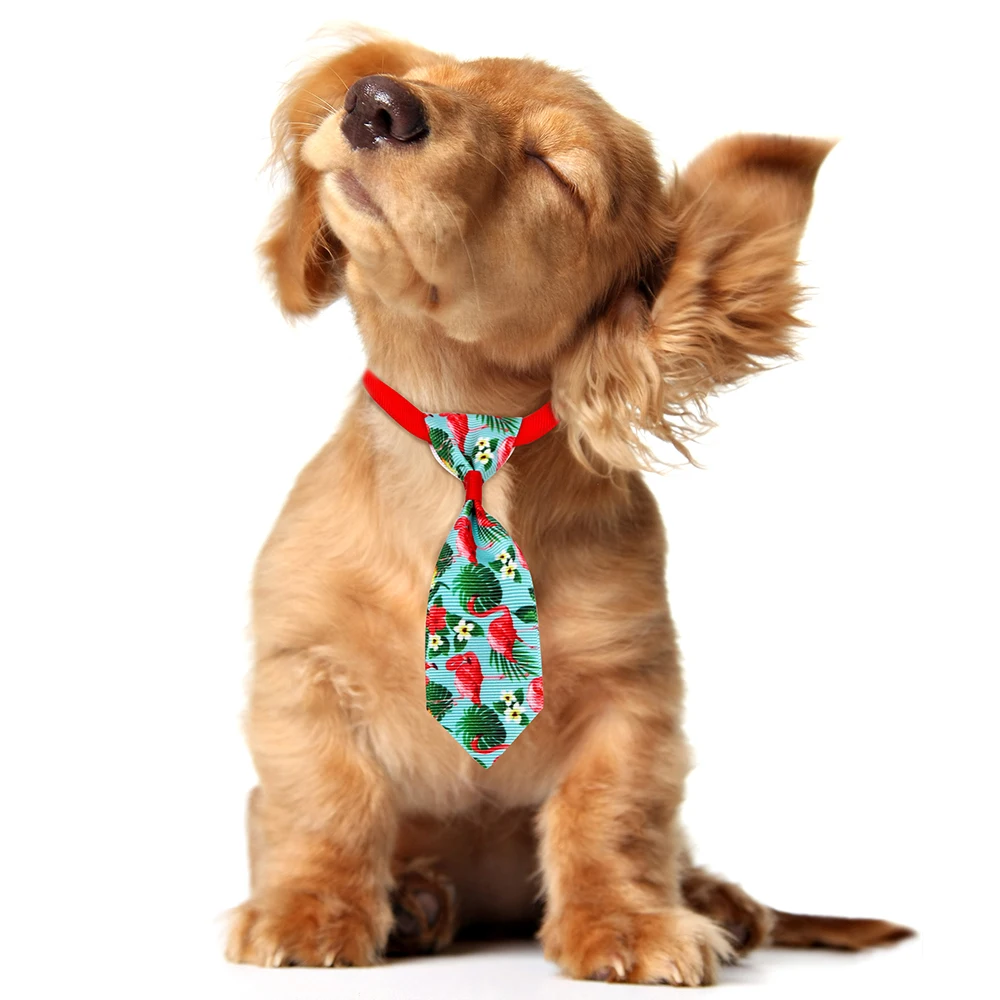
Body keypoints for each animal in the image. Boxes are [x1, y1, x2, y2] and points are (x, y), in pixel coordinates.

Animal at [226, 34, 913, 985]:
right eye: (435, 77)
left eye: (551, 168)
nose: (377, 103)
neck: (462, 448)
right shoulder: (300, 670)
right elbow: (325, 798)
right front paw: (310, 908)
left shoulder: (634, 691)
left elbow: (610, 814)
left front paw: (625, 922)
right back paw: (419, 897)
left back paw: (717, 901)